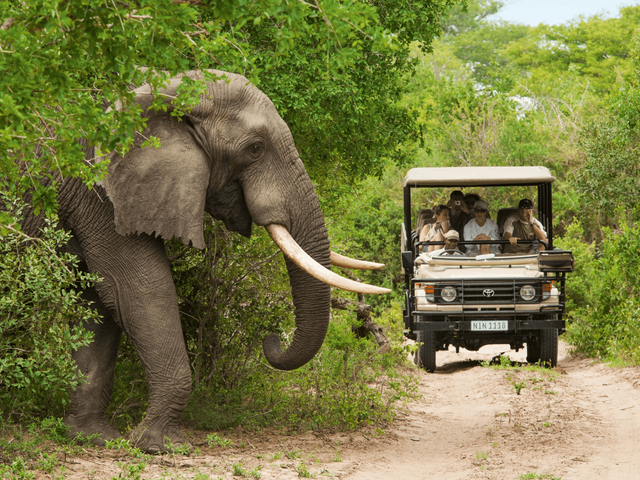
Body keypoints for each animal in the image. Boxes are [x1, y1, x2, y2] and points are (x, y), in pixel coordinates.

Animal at [11, 69, 390, 452]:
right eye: (255, 149)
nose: (271, 340)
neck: (165, 88)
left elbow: (102, 298)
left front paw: (94, 437)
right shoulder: (97, 190)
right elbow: (140, 289)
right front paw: (158, 445)